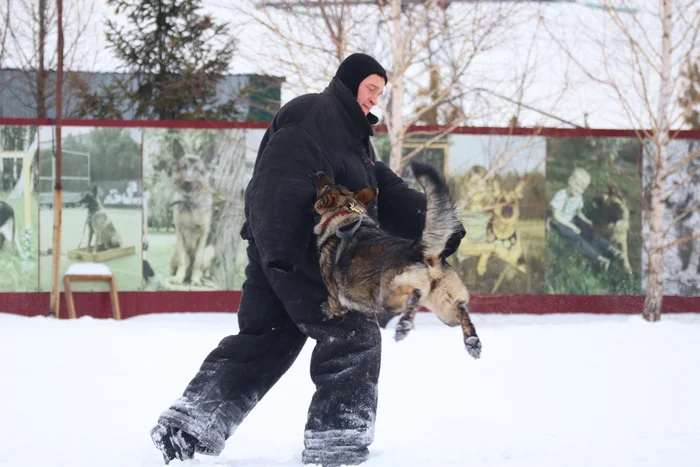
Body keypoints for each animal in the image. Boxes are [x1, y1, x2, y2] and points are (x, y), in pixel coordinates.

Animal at [169, 138, 213, 286]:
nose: (187, 182)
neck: (190, 203)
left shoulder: (203, 234)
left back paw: (202, 277)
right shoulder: (180, 233)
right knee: (179, 264)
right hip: (175, 251)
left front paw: (196, 279)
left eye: (198, 171)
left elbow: (197, 261)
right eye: (183, 167)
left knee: (203, 267)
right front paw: (178, 278)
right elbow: (183, 261)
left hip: (211, 250)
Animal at [314, 160, 482, 358]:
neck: (344, 215)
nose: (319, 172)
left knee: (414, 294)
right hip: (446, 310)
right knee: (461, 308)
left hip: (389, 298)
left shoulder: (336, 300)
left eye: (325, 186)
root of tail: (421, 251)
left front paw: (325, 309)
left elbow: (332, 306)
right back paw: (472, 341)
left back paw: (404, 325)